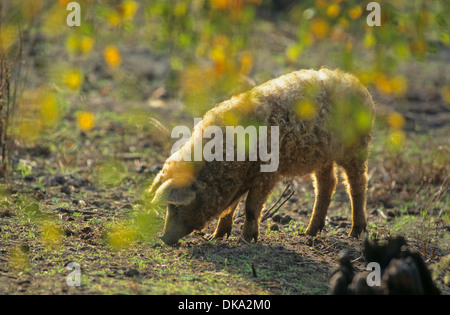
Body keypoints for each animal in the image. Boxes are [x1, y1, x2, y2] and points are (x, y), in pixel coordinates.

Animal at [149, 68, 374, 246]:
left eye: (176, 207)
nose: (163, 238)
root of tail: (358, 85)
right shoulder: (241, 178)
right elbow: (230, 206)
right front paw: (217, 237)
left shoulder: (267, 173)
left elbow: (250, 207)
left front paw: (246, 240)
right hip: (323, 156)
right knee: (327, 184)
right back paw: (308, 233)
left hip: (356, 147)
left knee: (357, 184)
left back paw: (355, 233)